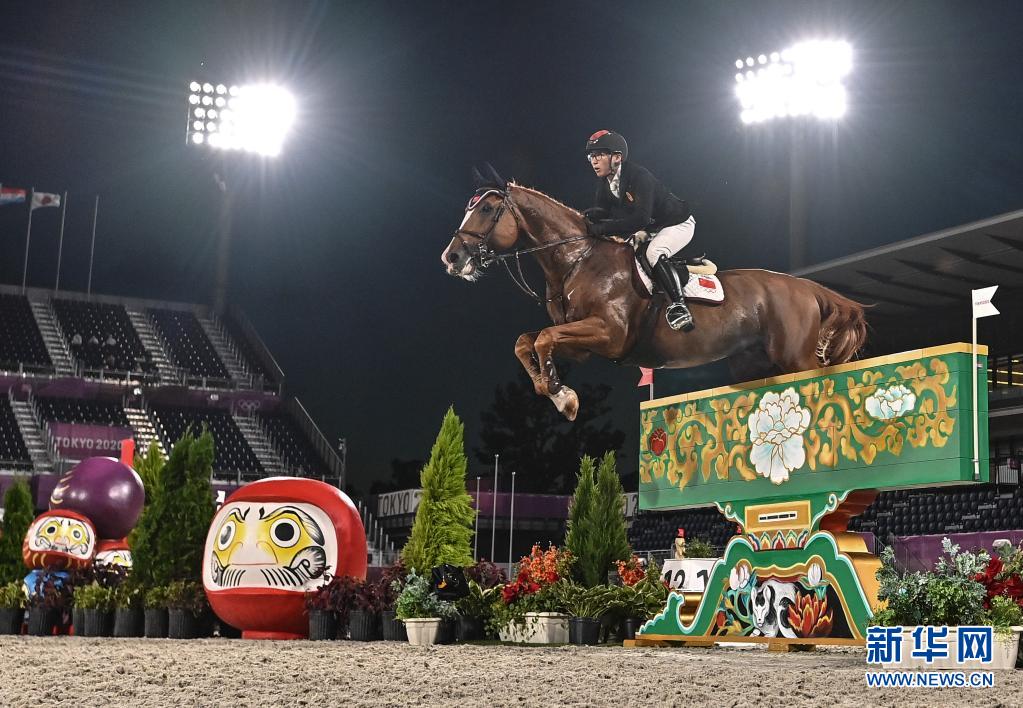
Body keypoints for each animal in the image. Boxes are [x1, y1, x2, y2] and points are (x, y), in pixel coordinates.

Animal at [441, 167, 867, 421]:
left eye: (487, 209)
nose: (451, 257)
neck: (578, 259)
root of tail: (805, 286)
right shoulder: (581, 343)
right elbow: (527, 341)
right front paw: (554, 390)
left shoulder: (608, 334)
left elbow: (543, 338)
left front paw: (564, 397)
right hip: (754, 364)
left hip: (795, 358)